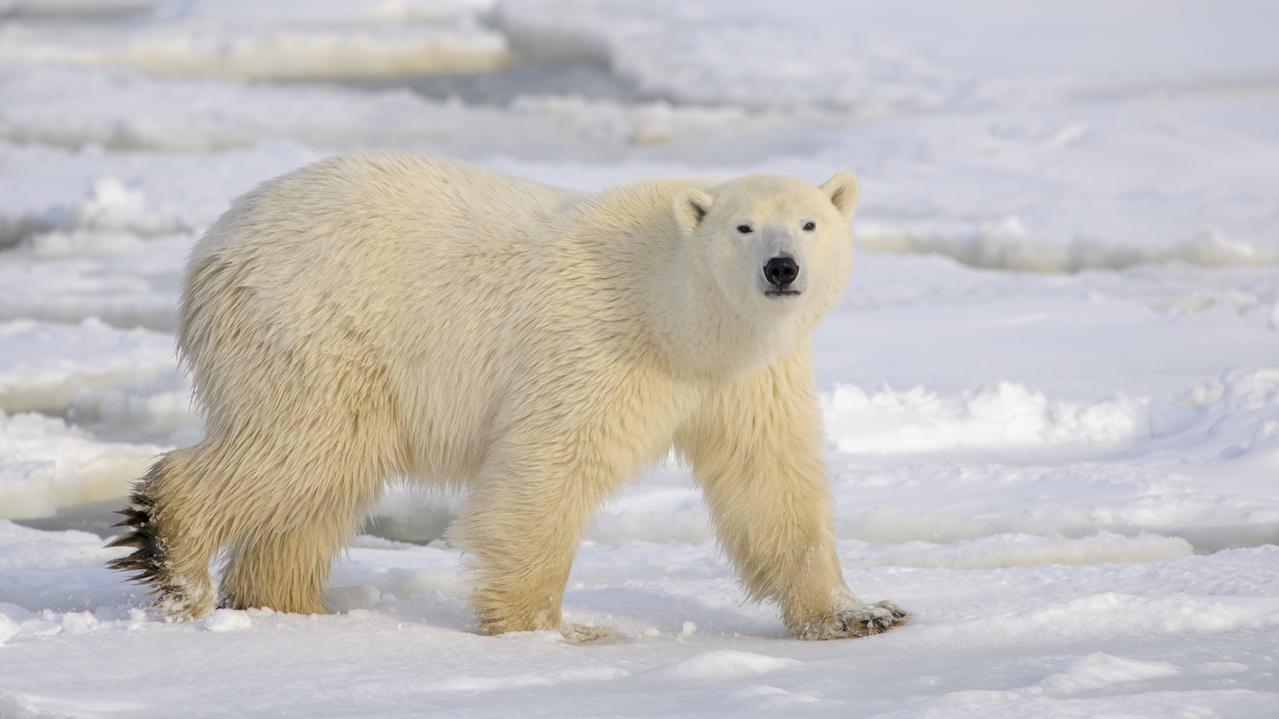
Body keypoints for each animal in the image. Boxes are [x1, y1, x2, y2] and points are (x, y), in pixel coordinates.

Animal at [112, 152, 910, 637]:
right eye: (743, 226)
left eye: (810, 221)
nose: (781, 267)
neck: (678, 319)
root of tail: (214, 244)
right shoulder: (598, 348)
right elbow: (547, 470)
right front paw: (553, 628)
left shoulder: (749, 379)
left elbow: (772, 481)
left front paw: (860, 611)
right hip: (316, 324)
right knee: (303, 445)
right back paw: (171, 552)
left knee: (326, 478)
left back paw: (288, 601)